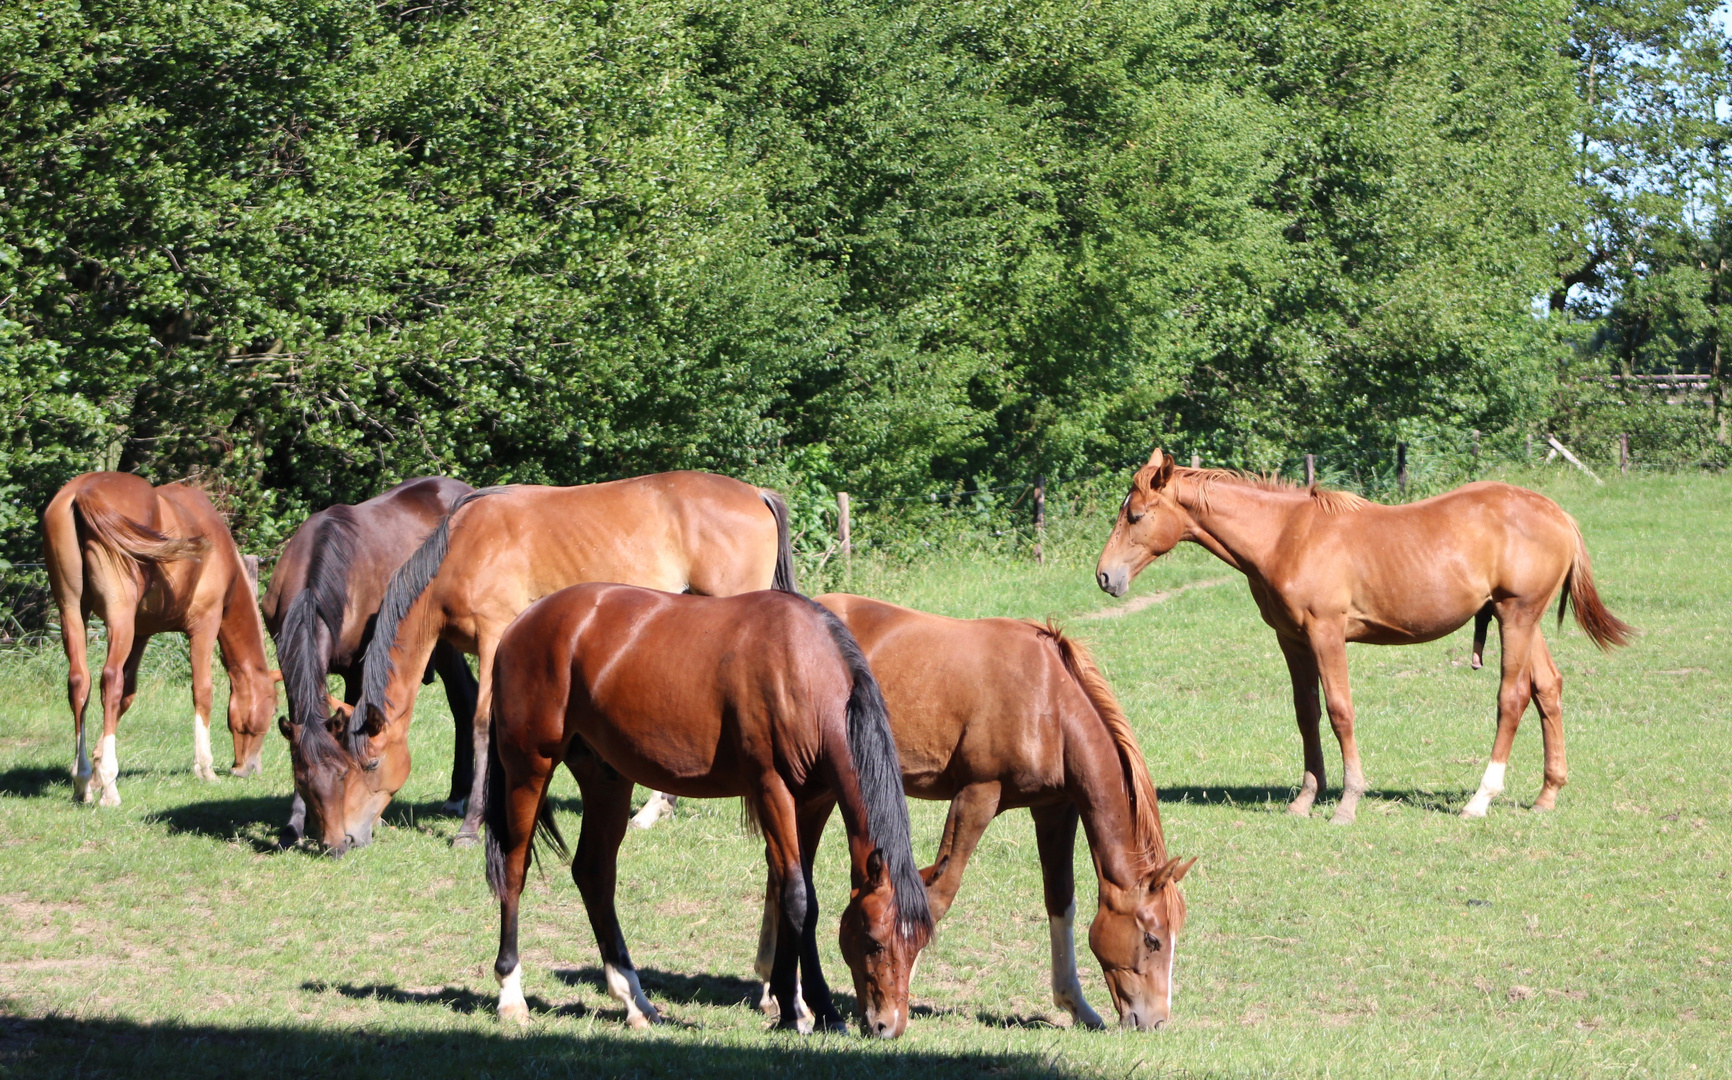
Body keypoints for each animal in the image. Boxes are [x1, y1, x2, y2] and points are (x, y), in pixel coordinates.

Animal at [43, 467, 277, 806]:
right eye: (273, 709)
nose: (247, 769)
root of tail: (85, 491)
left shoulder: (141, 633)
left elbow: (126, 695)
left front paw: (97, 767)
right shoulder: (204, 627)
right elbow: (202, 691)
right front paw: (205, 769)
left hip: (72, 610)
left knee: (80, 683)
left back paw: (83, 780)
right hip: (118, 616)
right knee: (109, 679)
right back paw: (110, 788)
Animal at [259, 477, 484, 848]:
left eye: (342, 775)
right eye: (302, 779)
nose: (335, 843)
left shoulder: (358, 670)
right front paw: (293, 827)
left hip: (444, 643)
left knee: (465, 699)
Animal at [308, 470, 793, 851]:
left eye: (370, 764)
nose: (347, 838)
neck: (465, 545)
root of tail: (756, 493)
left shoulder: (494, 636)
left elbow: (482, 726)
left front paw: (471, 826)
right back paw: (656, 809)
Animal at [751, 595, 1198, 1031]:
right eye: (1153, 939)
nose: (1156, 1021)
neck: (1049, 702)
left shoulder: (1054, 809)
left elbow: (1061, 901)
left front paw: (1077, 1006)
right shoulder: (977, 797)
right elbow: (938, 896)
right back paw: (788, 999)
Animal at [1094, 446, 1635, 827]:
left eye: (1135, 516)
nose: (1104, 576)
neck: (1286, 535)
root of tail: (1558, 514)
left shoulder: (1327, 634)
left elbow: (1340, 712)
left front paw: (1347, 803)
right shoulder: (1292, 640)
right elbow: (1307, 714)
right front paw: (1305, 799)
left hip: (1516, 618)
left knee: (1513, 697)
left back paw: (1480, 799)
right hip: (1521, 619)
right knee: (1547, 689)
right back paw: (1547, 794)